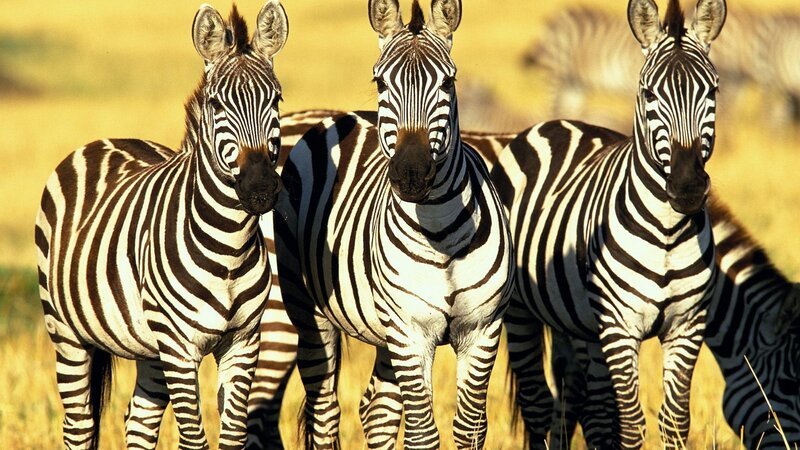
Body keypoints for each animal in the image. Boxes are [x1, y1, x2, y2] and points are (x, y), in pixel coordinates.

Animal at [34, 2, 288, 449]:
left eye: (276, 99)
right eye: (216, 105)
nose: (259, 189)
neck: (230, 249)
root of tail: (104, 140)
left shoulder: (243, 342)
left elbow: (232, 436)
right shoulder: (179, 347)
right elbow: (195, 438)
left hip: (148, 348)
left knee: (139, 420)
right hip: (66, 332)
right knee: (79, 424)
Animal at [273, 0, 514, 447]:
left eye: (448, 82)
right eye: (381, 81)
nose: (411, 173)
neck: (440, 233)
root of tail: (342, 116)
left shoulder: (483, 328)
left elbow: (470, 427)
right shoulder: (409, 330)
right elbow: (422, 431)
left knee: (376, 410)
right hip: (308, 309)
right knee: (325, 412)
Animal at [495, 0, 726, 448]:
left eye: (712, 91)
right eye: (649, 93)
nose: (687, 187)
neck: (668, 232)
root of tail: (554, 122)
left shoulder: (688, 326)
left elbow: (674, 420)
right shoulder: (620, 328)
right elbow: (631, 423)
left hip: (576, 323)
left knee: (574, 402)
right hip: (519, 312)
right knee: (537, 404)